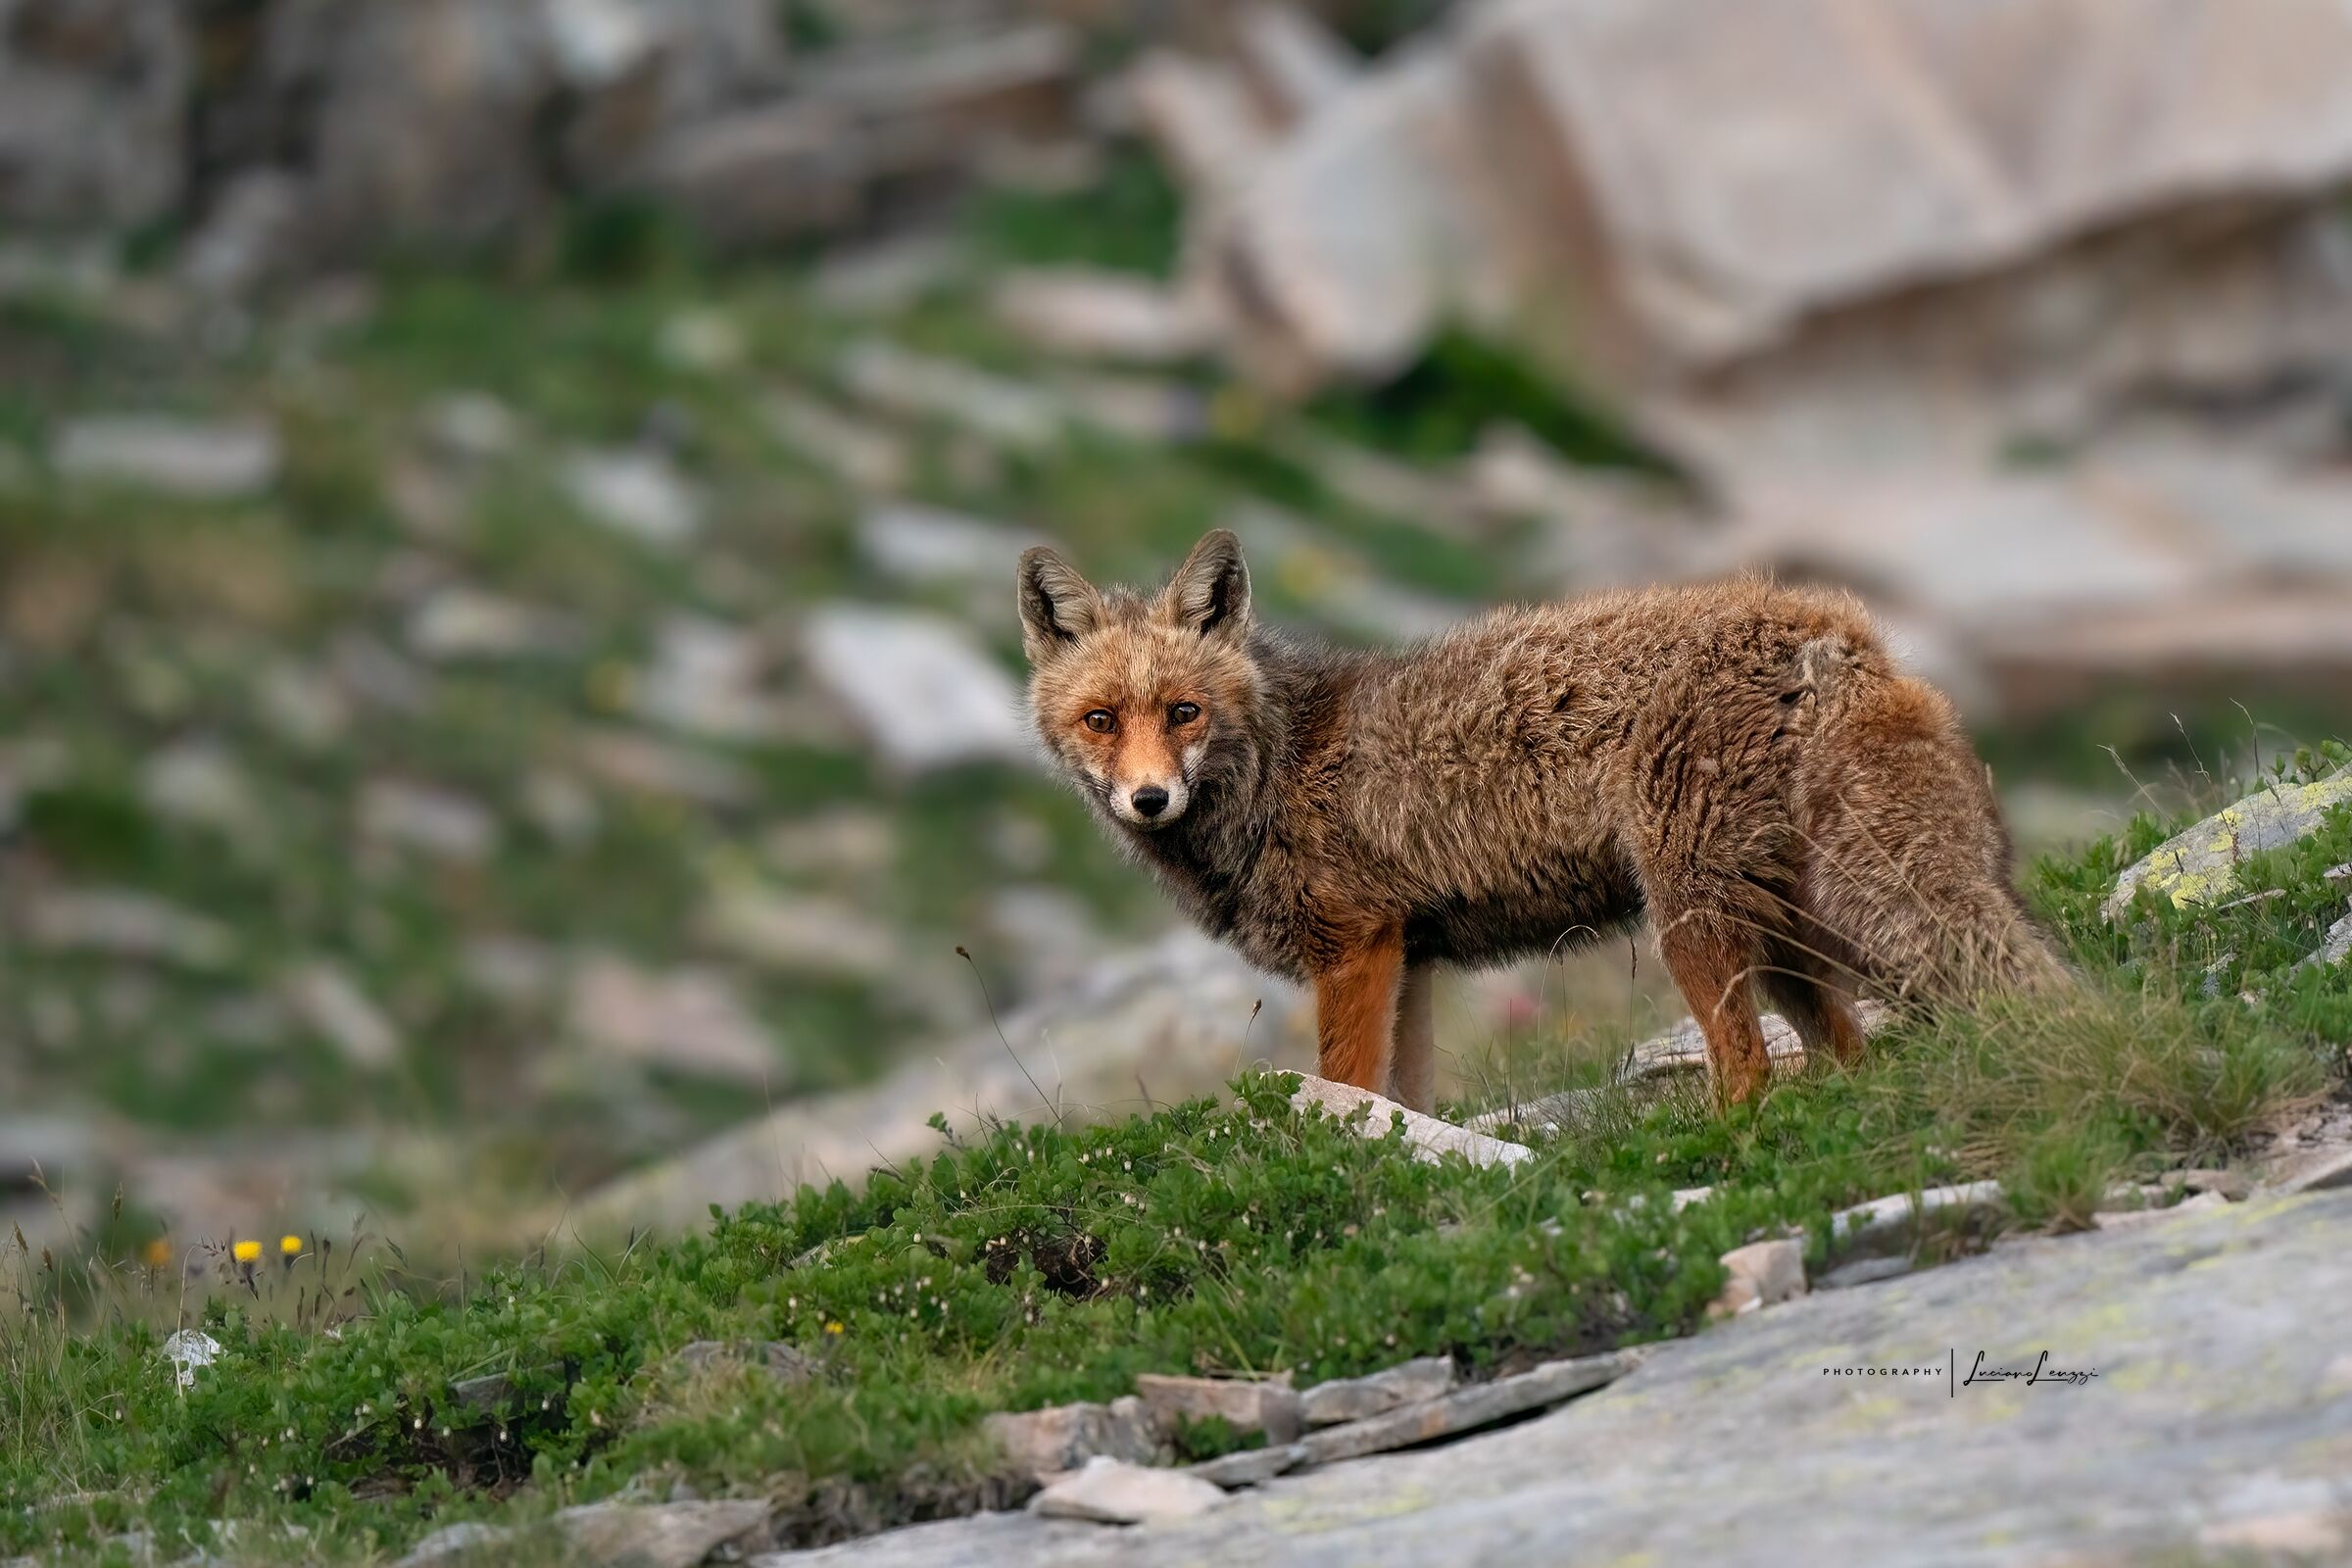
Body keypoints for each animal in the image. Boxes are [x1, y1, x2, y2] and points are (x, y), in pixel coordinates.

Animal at [1017, 529, 2065, 1112]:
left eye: (1183, 712)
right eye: (1101, 721)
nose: (1149, 799)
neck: (1279, 764)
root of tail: (1829, 629)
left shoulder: (1352, 948)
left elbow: (1345, 1088)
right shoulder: (1409, 959)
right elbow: (1408, 1104)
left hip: (1696, 926)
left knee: (1748, 1074)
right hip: (1790, 935)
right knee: (1844, 1054)